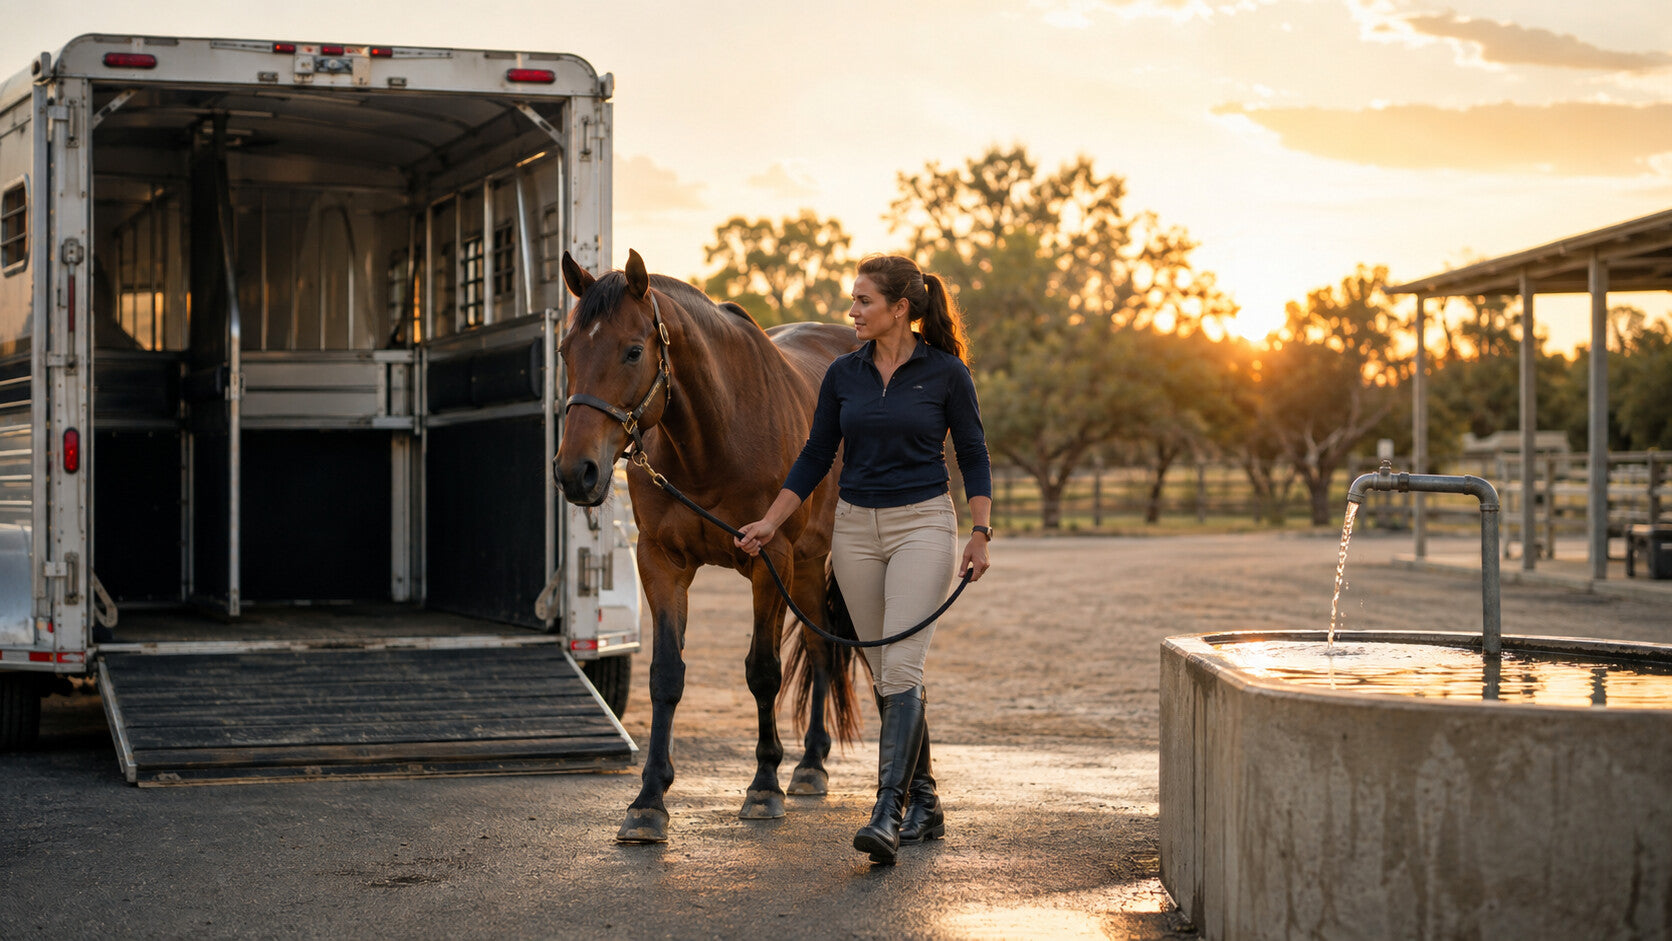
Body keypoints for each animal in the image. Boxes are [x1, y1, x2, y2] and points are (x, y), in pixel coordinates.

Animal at [554, 249, 863, 843]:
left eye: (633, 350)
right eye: (565, 350)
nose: (575, 473)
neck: (715, 438)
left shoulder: (770, 560)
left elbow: (763, 671)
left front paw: (763, 786)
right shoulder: (661, 562)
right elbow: (665, 676)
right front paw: (648, 801)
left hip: (817, 560)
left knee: (822, 650)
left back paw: (809, 767)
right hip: (806, 566)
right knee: (818, 651)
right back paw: (811, 762)